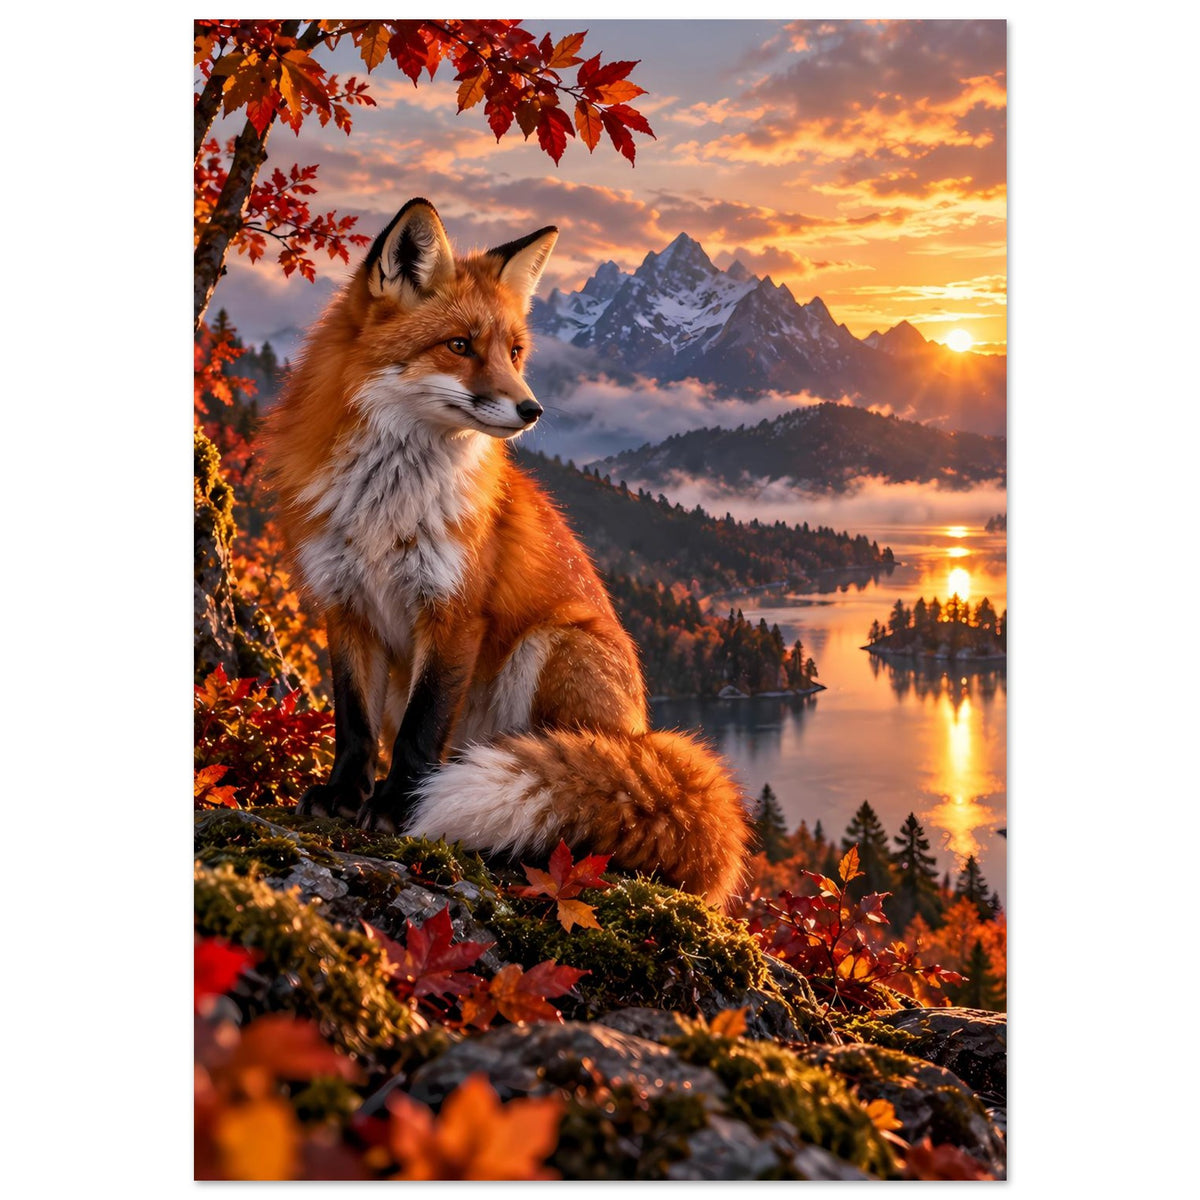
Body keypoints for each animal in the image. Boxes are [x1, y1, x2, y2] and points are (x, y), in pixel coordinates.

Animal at [265, 198, 750, 907]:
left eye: (515, 351)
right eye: (460, 346)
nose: (532, 409)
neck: (386, 506)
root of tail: (643, 735)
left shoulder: (454, 611)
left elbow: (419, 732)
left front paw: (398, 810)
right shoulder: (345, 604)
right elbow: (354, 725)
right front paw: (343, 797)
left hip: (551, 645)